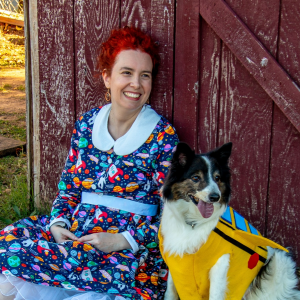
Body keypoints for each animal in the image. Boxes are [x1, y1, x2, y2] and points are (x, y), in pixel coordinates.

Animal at [159, 142, 300, 300]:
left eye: (217, 178)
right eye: (195, 178)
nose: (215, 197)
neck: (192, 222)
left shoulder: (220, 262)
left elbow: (215, 294)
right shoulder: (175, 257)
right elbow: (170, 290)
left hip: (280, 261)